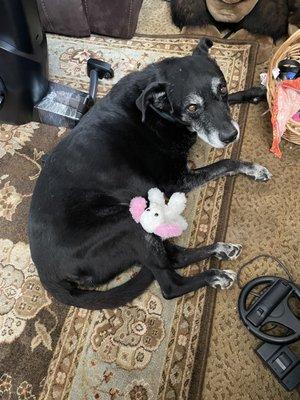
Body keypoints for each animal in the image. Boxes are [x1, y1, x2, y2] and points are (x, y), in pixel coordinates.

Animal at [28, 39, 272, 310]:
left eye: (223, 89)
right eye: (192, 107)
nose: (231, 136)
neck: (157, 111)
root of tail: (47, 274)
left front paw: (257, 91)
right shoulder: (177, 180)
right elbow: (226, 162)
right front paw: (252, 168)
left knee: (174, 257)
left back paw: (221, 250)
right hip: (130, 222)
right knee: (169, 284)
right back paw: (214, 275)